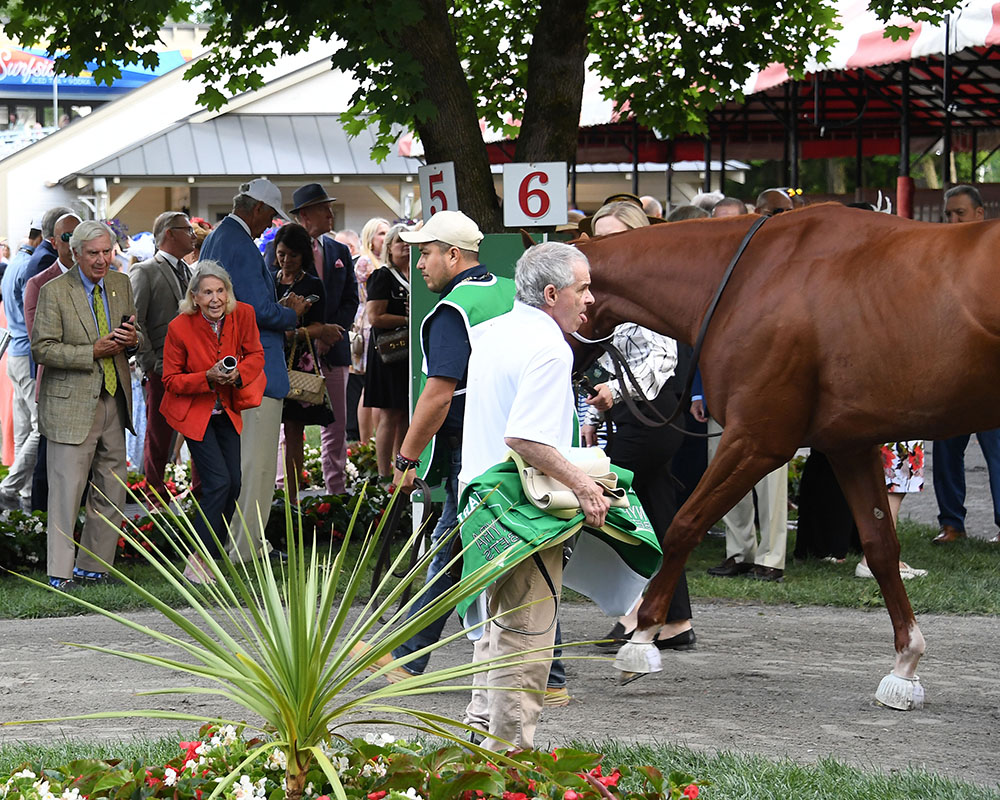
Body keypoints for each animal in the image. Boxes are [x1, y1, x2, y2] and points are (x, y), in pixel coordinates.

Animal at [572, 205, 1000, 708]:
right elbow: (880, 547)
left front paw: (639, 642)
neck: (749, 277)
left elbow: (684, 525)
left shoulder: (757, 439)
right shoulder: (848, 444)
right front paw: (905, 667)